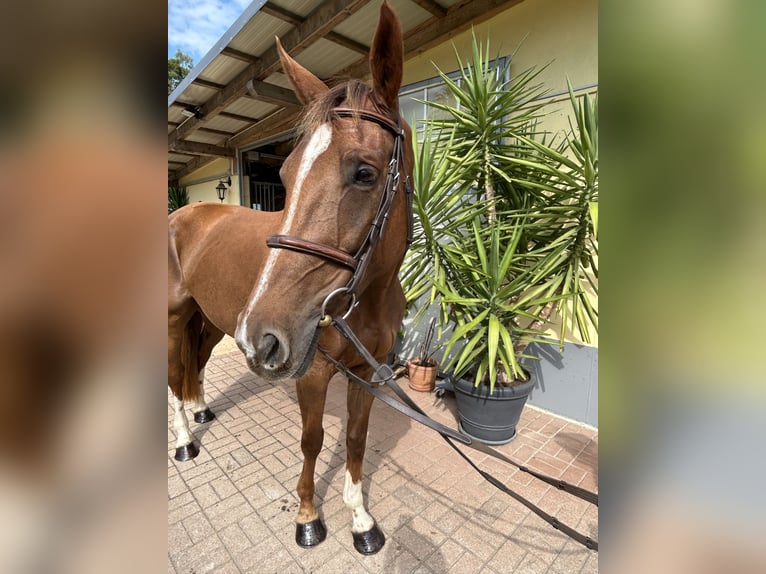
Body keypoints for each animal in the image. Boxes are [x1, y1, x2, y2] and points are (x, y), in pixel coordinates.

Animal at [168, 2, 412, 555]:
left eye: (365, 173)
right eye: (283, 175)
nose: (264, 336)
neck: (366, 298)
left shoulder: (367, 372)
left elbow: (356, 441)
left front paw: (362, 521)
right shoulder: (314, 372)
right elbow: (312, 440)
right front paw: (308, 517)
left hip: (211, 320)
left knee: (197, 365)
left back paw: (202, 412)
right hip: (175, 319)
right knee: (172, 377)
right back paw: (185, 442)